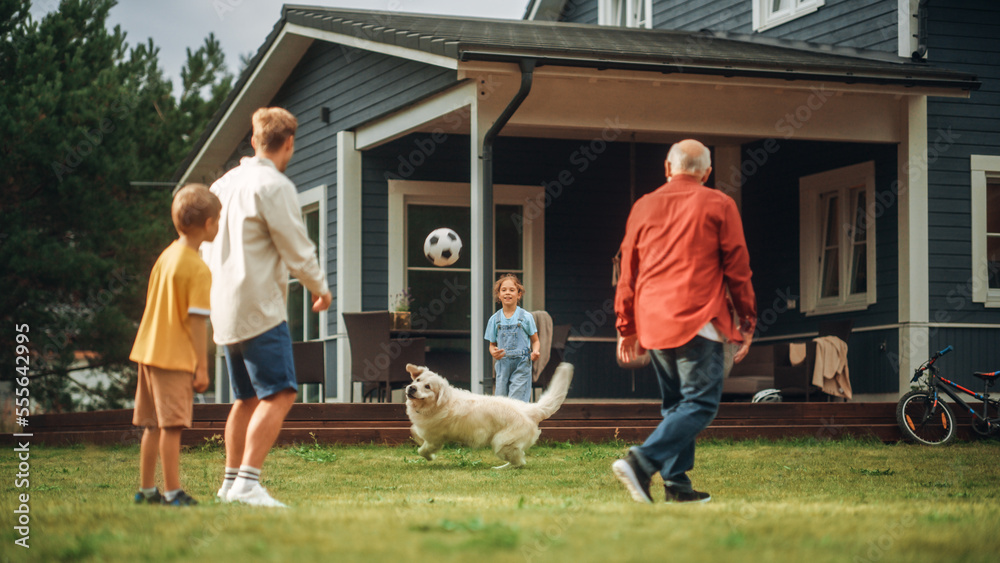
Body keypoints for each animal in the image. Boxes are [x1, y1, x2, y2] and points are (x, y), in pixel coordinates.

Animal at [404, 364, 576, 470]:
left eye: (428, 387)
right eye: (417, 380)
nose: (411, 388)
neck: (438, 404)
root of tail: (530, 409)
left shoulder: (435, 439)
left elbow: (423, 450)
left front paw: (429, 457)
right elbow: (413, 430)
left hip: (502, 443)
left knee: (519, 462)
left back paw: (500, 469)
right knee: (520, 460)